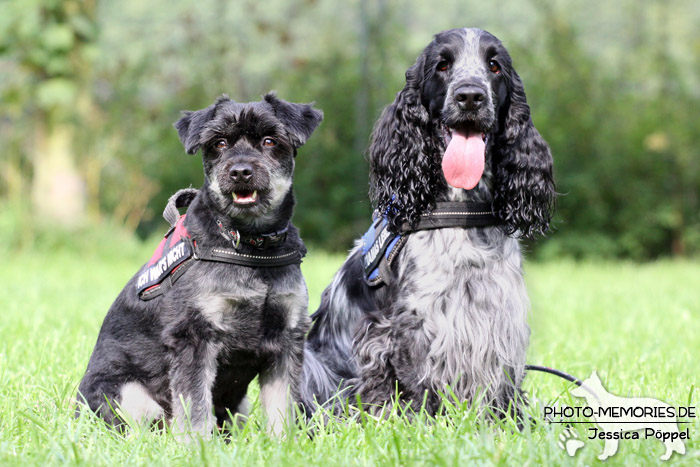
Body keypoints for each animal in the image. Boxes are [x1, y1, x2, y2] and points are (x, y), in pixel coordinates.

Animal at [78, 92, 324, 438]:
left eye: (269, 140)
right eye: (218, 143)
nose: (240, 171)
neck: (250, 247)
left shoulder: (286, 340)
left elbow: (282, 410)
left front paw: (283, 444)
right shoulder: (194, 336)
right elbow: (195, 407)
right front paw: (198, 445)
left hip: (239, 408)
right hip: (130, 396)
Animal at [300, 28, 552, 416]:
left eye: (494, 65)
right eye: (442, 65)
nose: (470, 96)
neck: (463, 211)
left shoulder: (501, 320)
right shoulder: (406, 323)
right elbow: (413, 380)